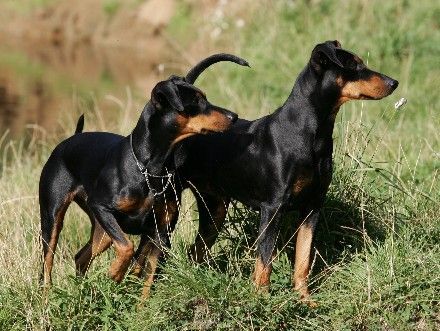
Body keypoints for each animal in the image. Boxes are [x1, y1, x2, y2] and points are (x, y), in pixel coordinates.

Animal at [151, 40, 398, 304]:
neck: (310, 134)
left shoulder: (312, 207)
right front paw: (262, 300)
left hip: (215, 209)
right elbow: (264, 261)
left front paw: (304, 299)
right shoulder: (272, 209)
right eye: (354, 66)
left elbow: (302, 259)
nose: (394, 82)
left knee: (195, 251)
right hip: (168, 208)